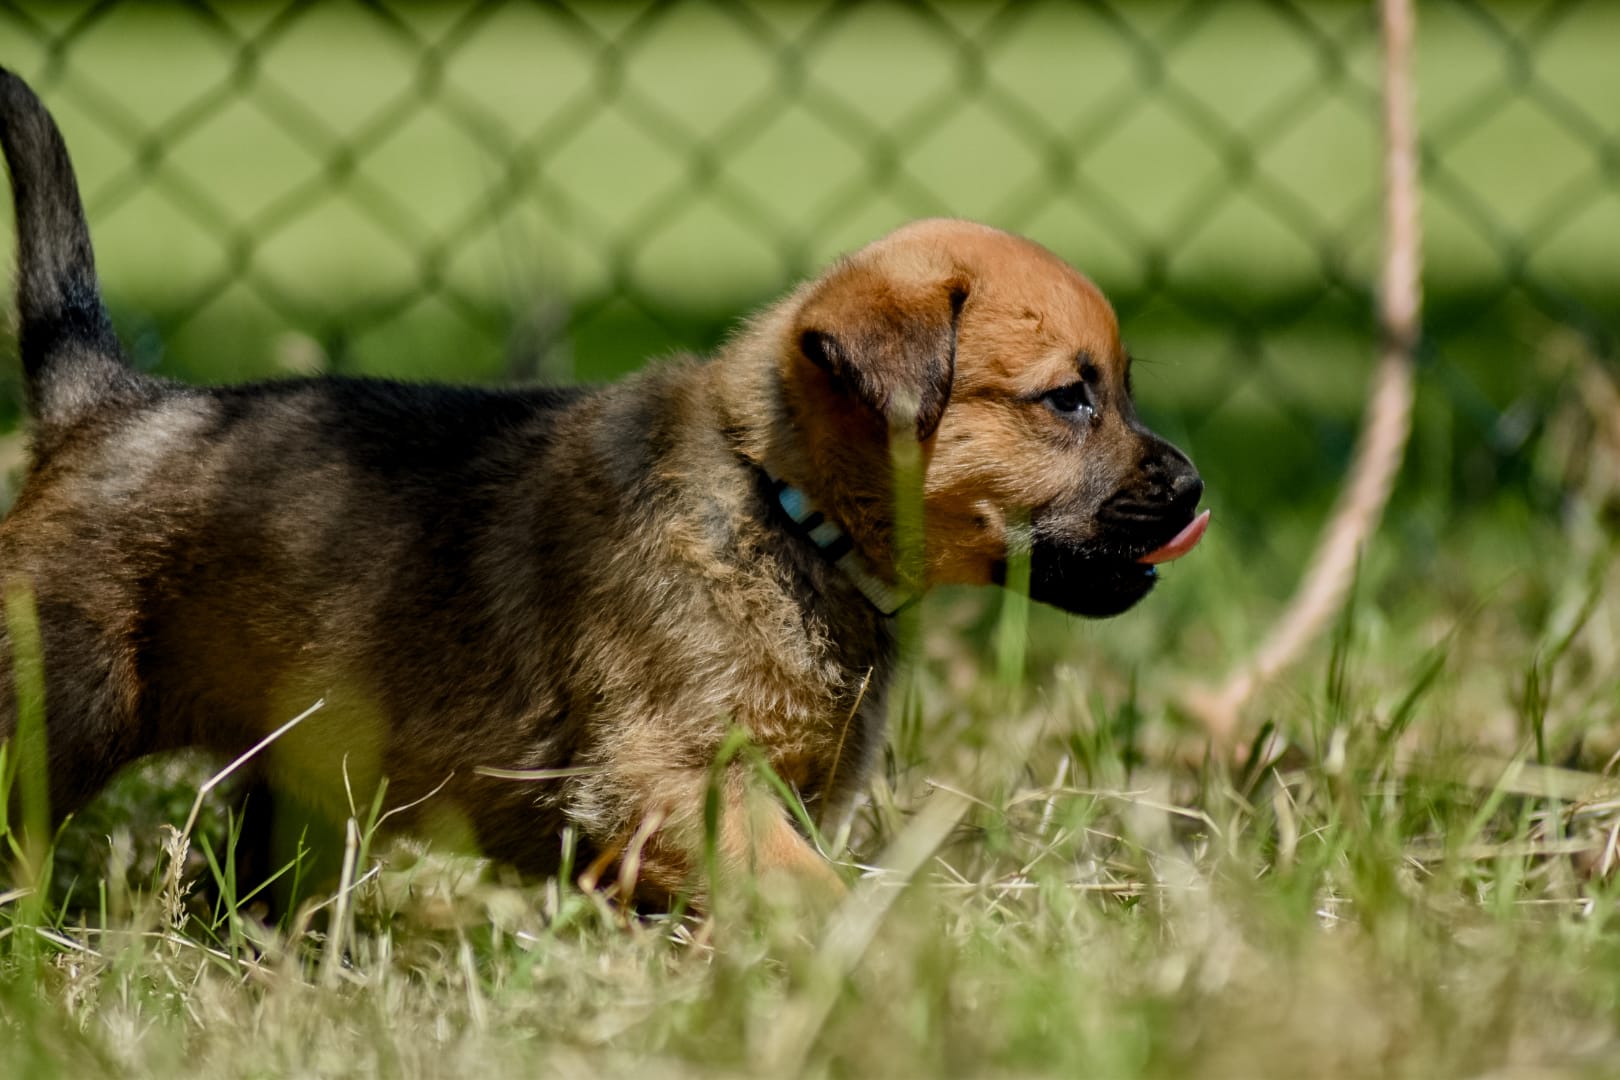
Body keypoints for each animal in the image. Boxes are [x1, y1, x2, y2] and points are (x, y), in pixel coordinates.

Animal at [0, 69, 1205, 906]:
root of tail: (104, 400)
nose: (1194, 489)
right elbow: (812, 892)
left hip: (294, 785)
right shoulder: (671, 787)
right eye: (1069, 401)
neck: (779, 507)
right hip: (51, 715)